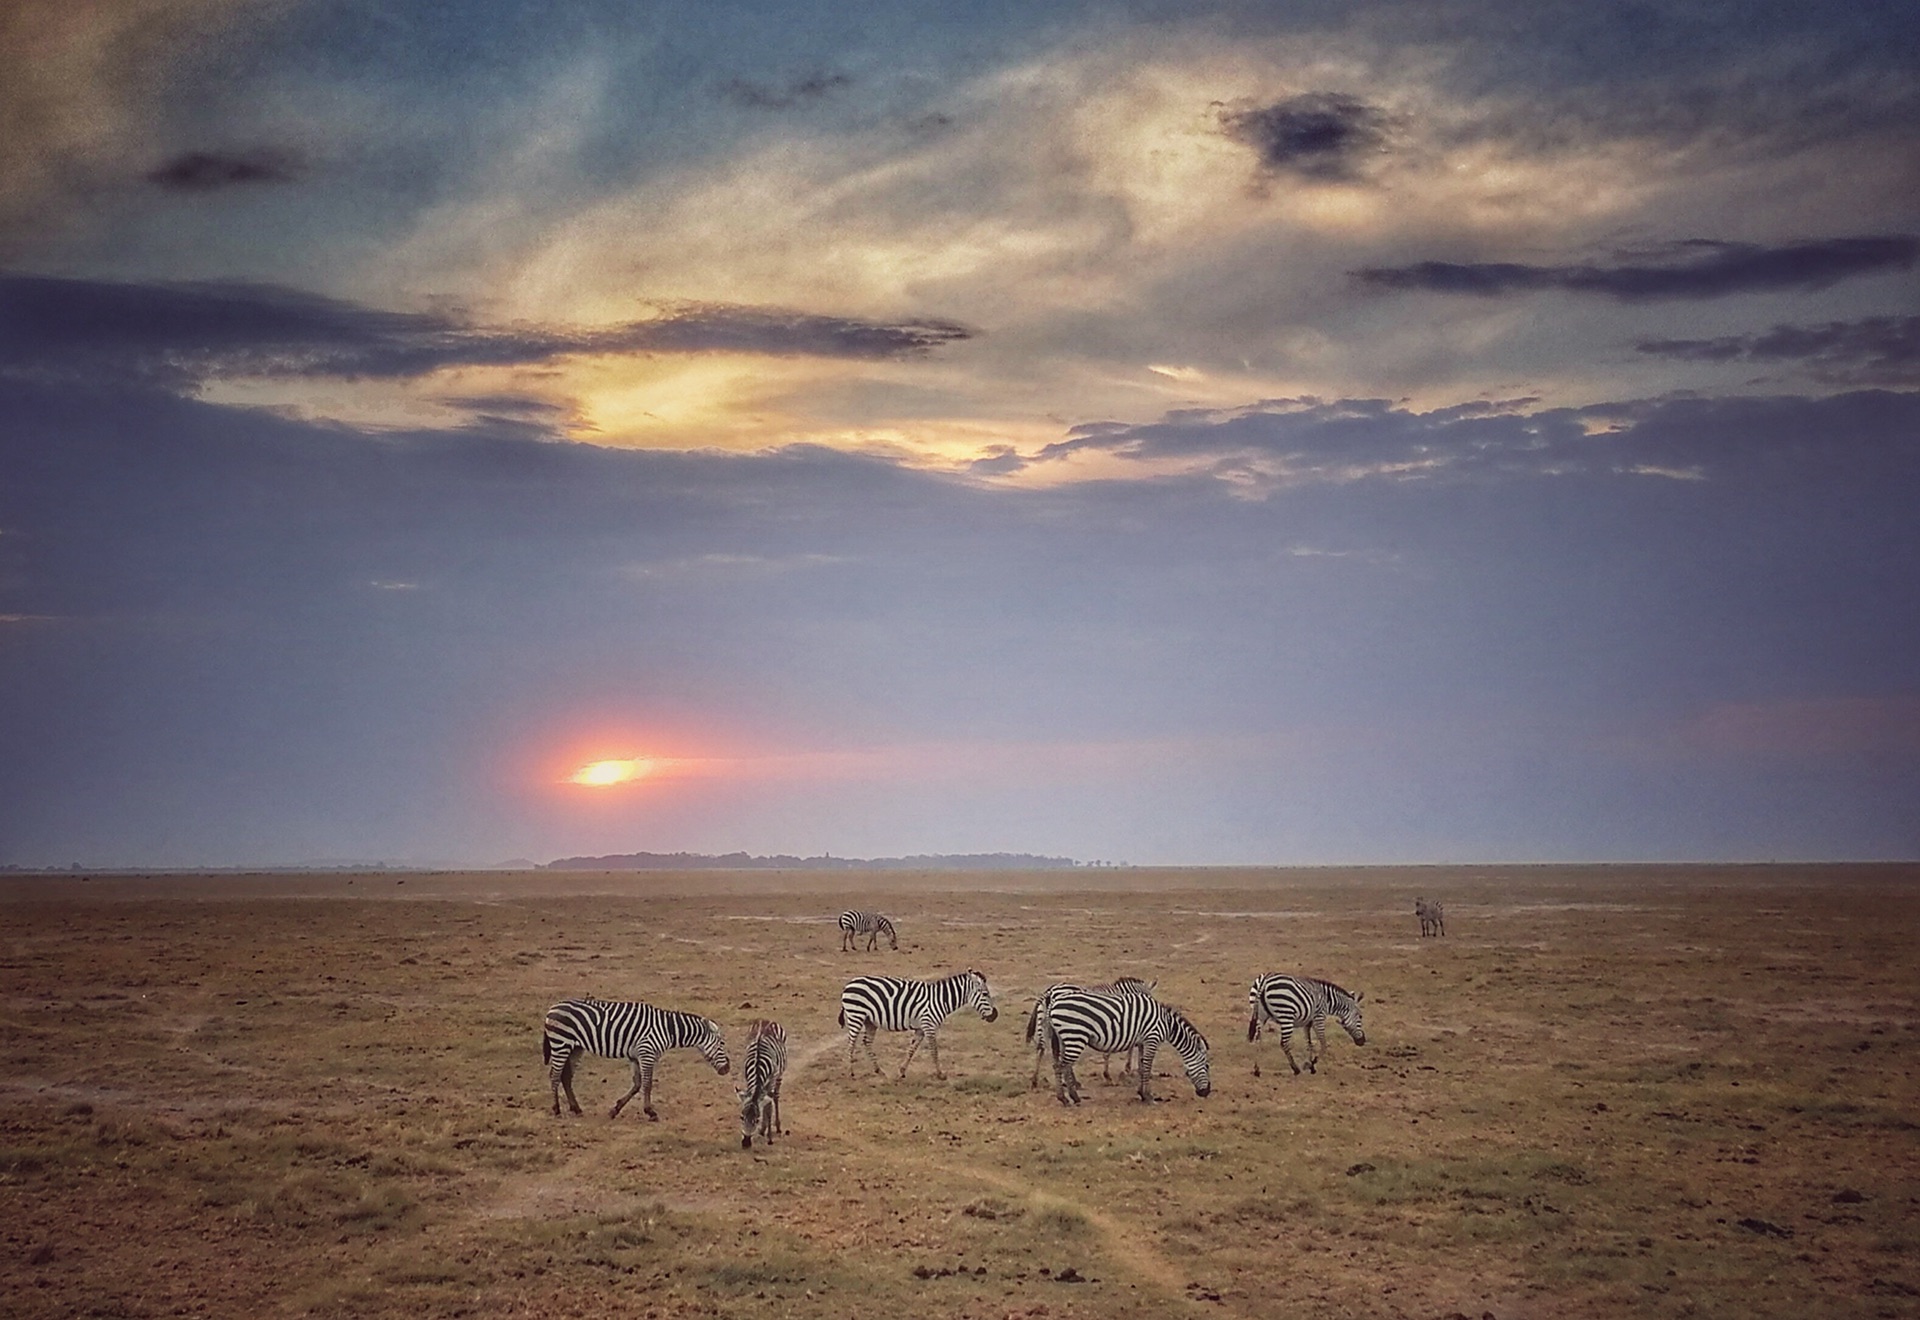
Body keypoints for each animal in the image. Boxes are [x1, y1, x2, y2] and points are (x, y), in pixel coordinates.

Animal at [545, 997, 729, 1120]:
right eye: (721, 1043)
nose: (727, 1069)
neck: (668, 1029)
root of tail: (552, 1008)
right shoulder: (647, 1053)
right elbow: (647, 1084)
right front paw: (651, 1112)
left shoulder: (636, 1056)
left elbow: (637, 1084)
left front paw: (615, 1109)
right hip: (561, 1043)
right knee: (554, 1075)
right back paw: (556, 1109)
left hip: (575, 1047)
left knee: (566, 1076)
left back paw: (576, 1108)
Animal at [737, 1013, 791, 1151]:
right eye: (741, 1117)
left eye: (756, 1119)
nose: (745, 1143)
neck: (757, 1064)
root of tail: (766, 1020)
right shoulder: (748, 1080)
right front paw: (763, 1129)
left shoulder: (771, 1081)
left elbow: (769, 1108)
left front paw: (769, 1137)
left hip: (779, 1075)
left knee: (775, 1097)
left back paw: (776, 1127)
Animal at [833, 963, 998, 1074]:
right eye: (985, 994)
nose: (995, 1015)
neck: (940, 999)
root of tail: (849, 983)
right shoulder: (929, 1025)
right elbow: (934, 1050)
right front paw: (940, 1075)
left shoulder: (920, 1028)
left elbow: (912, 1049)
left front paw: (902, 1071)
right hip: (856, 1015)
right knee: (851, 1043)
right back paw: (851, 1072)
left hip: (869, 1021)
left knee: (866, 1042)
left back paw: (879, 1071)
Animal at [1021, 974, 1152, 1089]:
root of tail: (1049, 991)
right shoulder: (1118, 1024)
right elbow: (1115, 1050)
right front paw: (1115, 1073)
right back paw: (1073, 1083)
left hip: (1044, 1023)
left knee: (1041, 1050)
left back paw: (1035, 1081)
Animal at [1044, 990, 1205, 1105]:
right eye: (1207, 1066)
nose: (1206, 1092)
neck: (1167, 1023)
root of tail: (1054, 1002)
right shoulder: (1152, 1038)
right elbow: (1147, 1067)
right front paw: (1148, 1096)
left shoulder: (1143, 1042)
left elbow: (1142, 1067)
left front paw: (1142, 1094)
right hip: (1075, 1034)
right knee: (1063, 1065)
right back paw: (1068, 1097)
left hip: (1064, 1038)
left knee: (1059, 1065)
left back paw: (1069, 1097)